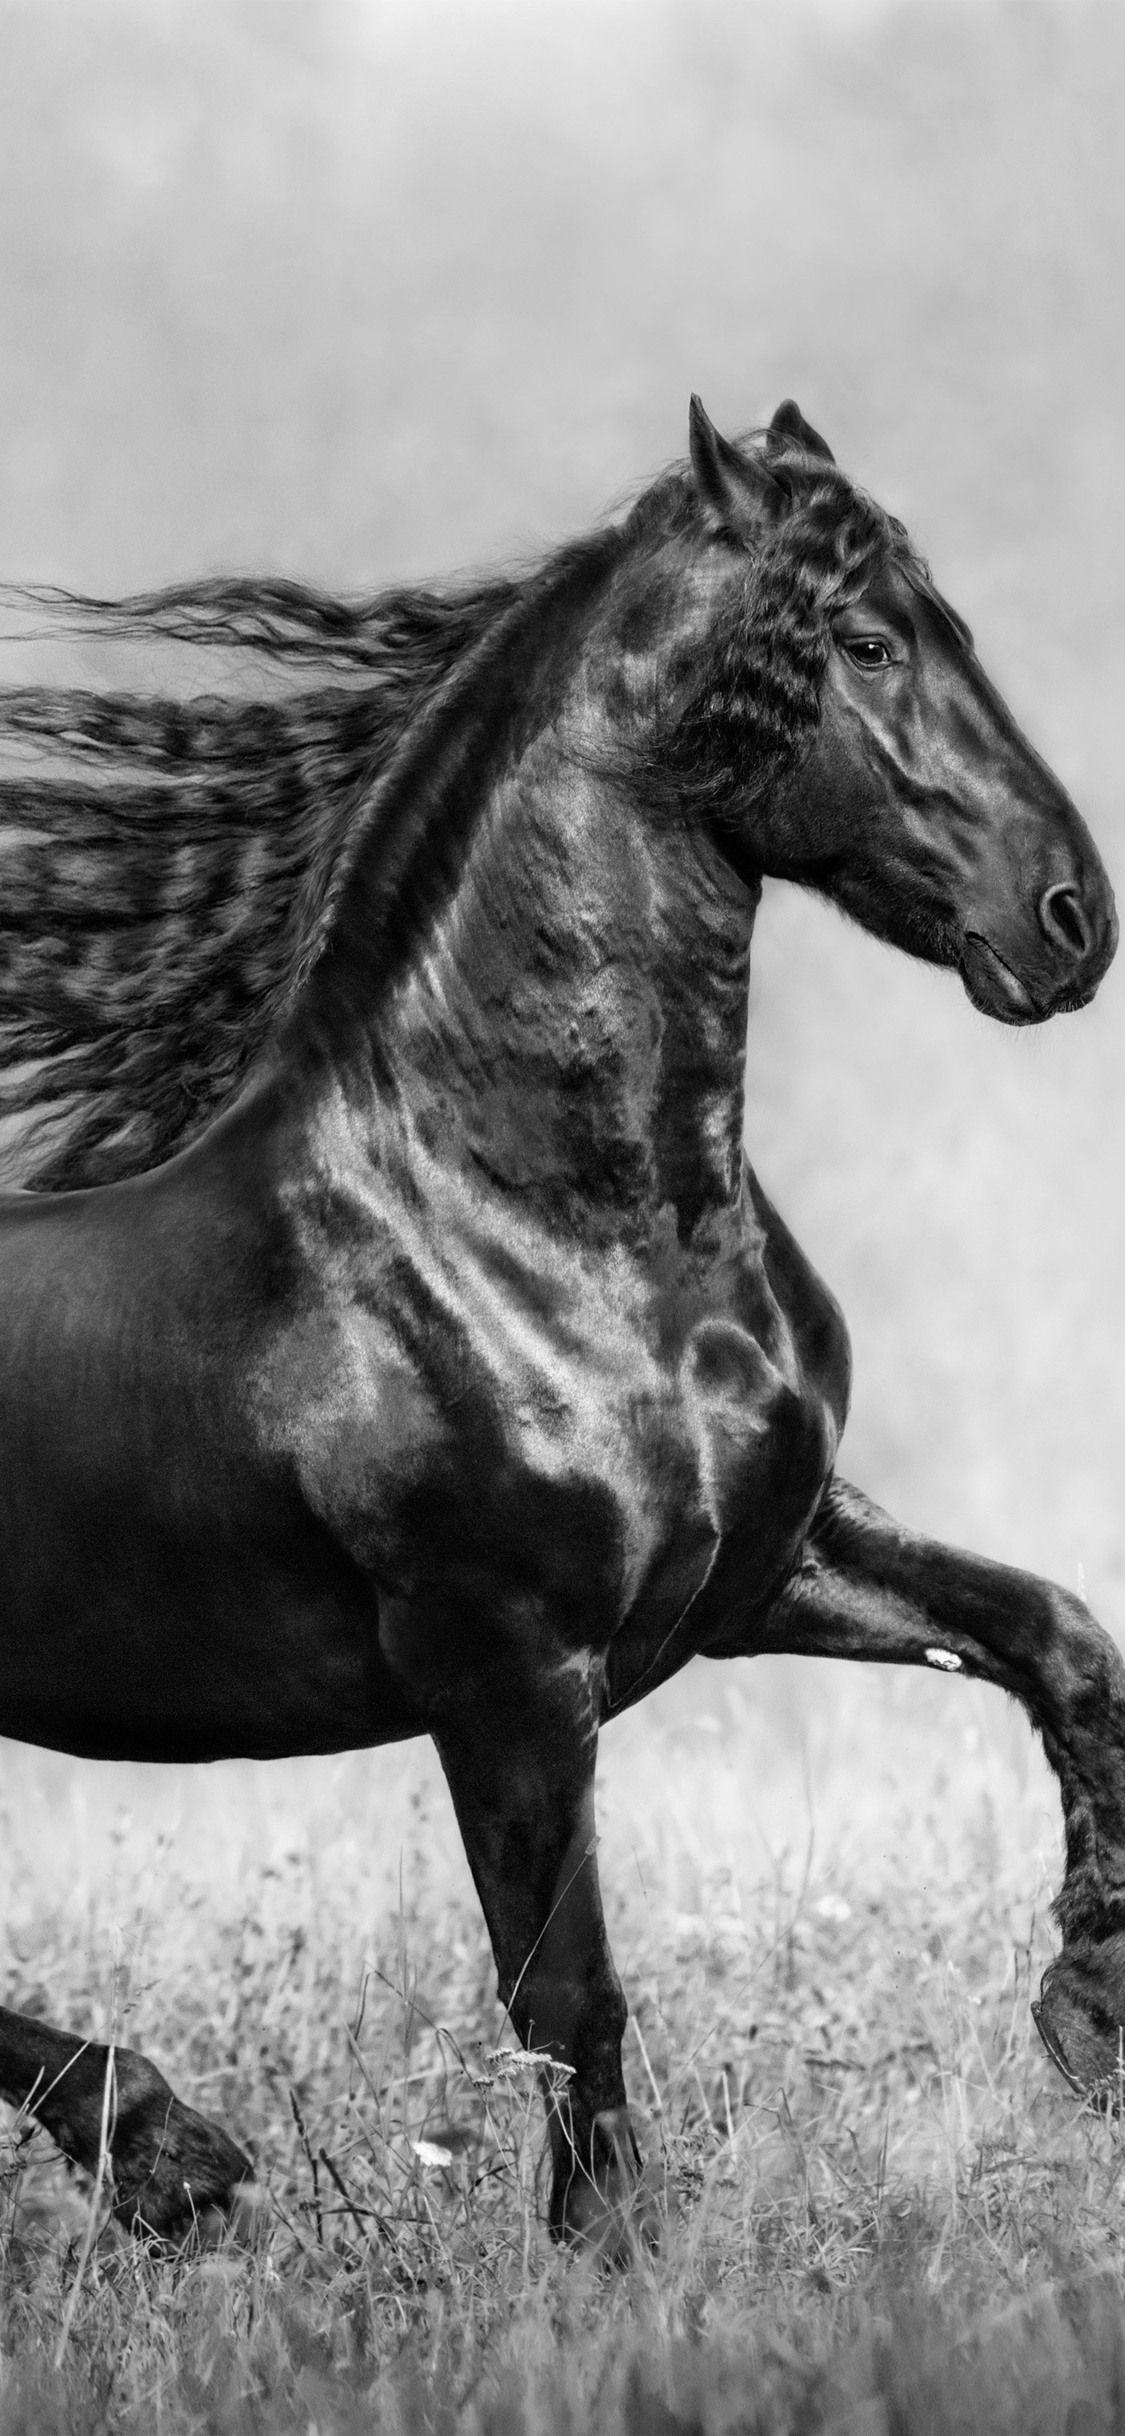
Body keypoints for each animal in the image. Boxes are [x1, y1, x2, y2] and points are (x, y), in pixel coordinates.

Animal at [0, 398, 1121, 2254]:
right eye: (867, 641)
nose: (1072, 920)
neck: (526, 1226)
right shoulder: (507, 1669)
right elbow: (564, 1991)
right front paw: (608, 2262)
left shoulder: (765, 1567)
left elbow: (1060, 1639)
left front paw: (1088, 2003)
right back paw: (172, 2153)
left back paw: (164, 2155)